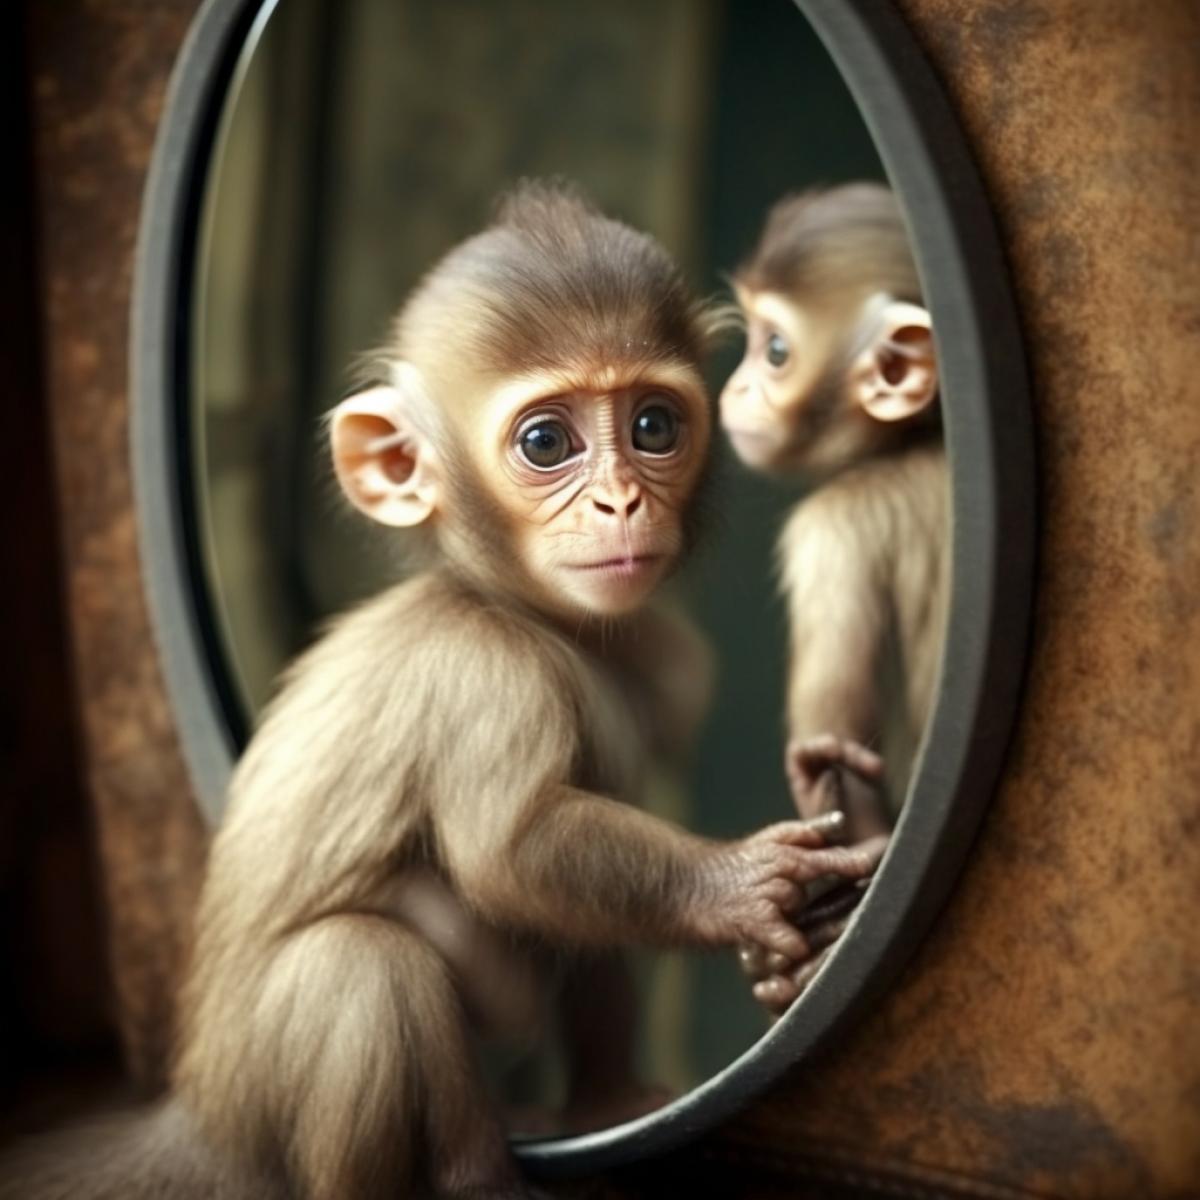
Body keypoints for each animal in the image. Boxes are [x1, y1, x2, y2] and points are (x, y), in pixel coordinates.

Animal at [0, 183, 887, 1200]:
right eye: (546, 442)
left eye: (654, 428)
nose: (621, 503)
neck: (531, 617)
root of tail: (199, 1114)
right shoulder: (485, 674)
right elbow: (512, 846)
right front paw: (745, 885)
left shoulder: (667, 660)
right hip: (262, 1094)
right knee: (363, 965)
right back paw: (472, 1173)